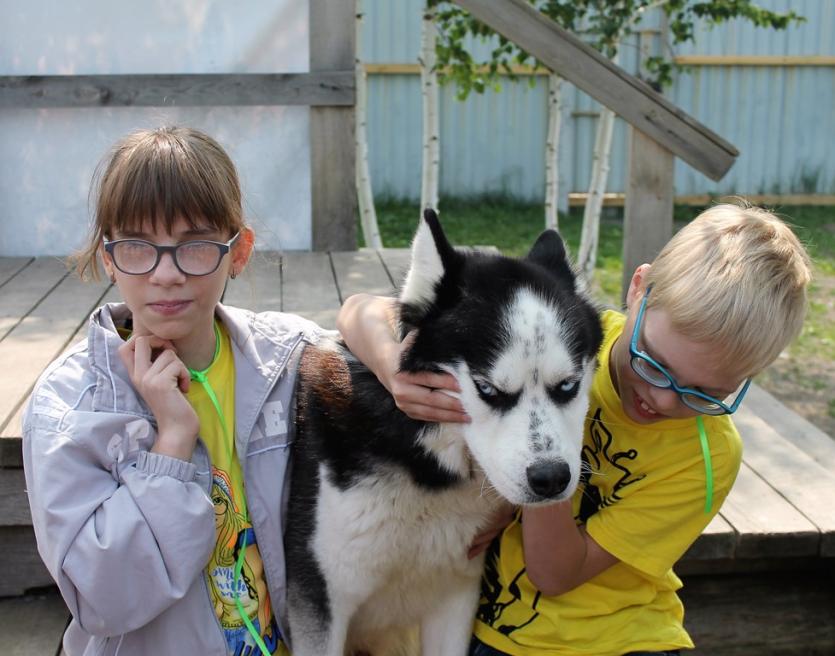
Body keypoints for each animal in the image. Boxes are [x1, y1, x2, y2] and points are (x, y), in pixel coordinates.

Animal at [284, 210, 604, 656]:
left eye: (569, 386)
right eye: (487, 390)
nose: (551, 479)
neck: (426, 465)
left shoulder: (456, 594)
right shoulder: (320, 601)